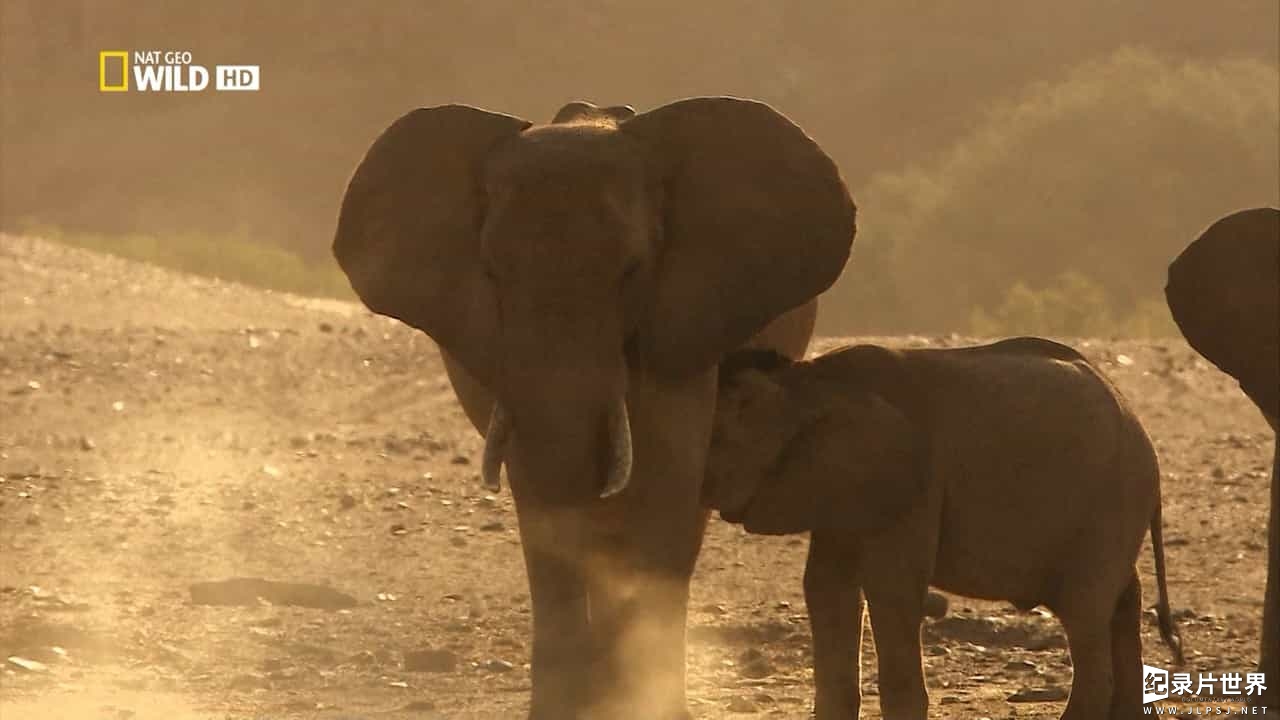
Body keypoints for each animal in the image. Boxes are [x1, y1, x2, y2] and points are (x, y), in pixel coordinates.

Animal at [330, 98, 855, 712]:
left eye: (631, 270)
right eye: (492, 272)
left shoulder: (681, 320)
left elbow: (664, 486)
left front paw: (642, 705)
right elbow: (543, 504)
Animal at [706, 338, 1182, 717]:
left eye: (717, 441)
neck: (807, 380)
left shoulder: (911, 486)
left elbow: (890, 588)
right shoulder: (840, 491)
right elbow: (827, 587)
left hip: (1109, 502)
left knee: (1085, 609)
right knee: (1123, 600)